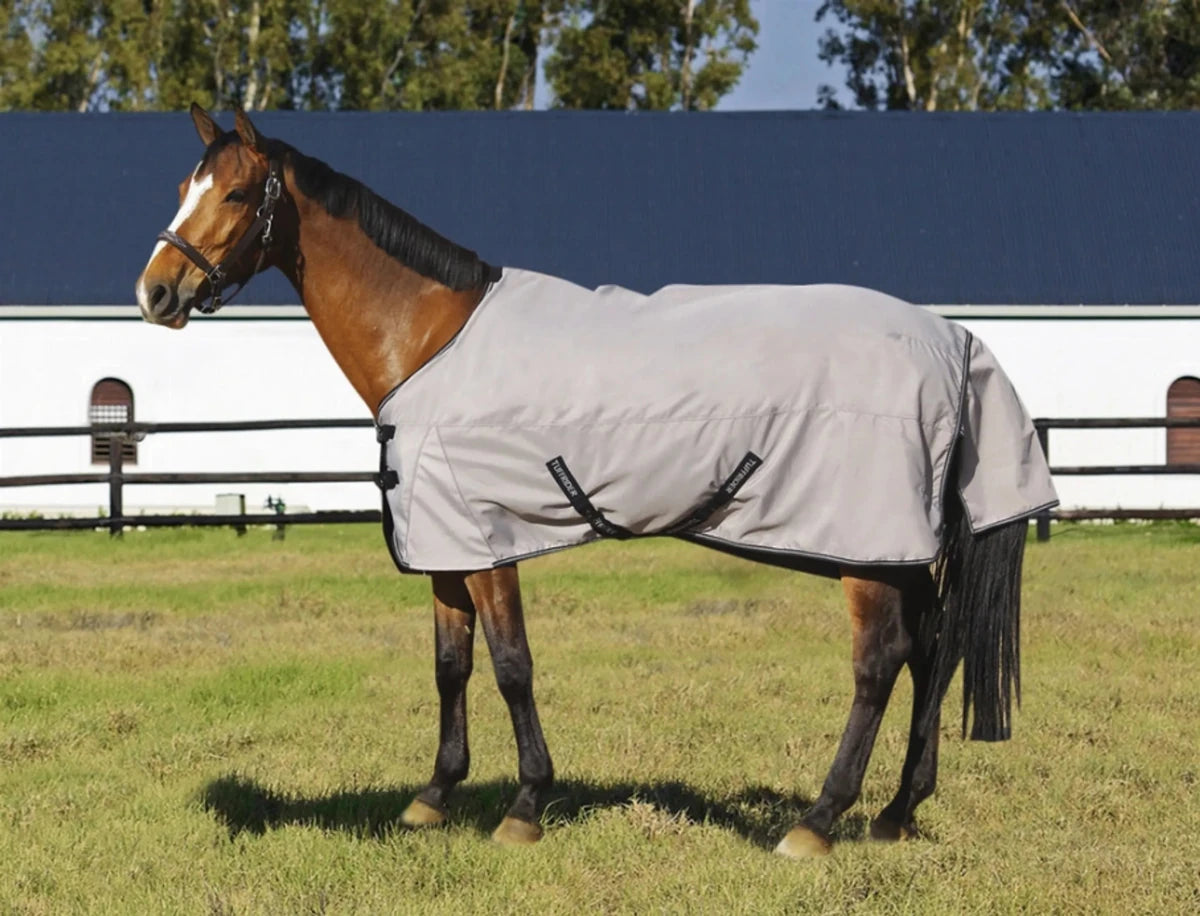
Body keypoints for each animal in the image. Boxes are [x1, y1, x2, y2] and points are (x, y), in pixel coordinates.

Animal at [135, 105, 1056, 857]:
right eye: (183, 187)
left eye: (235, 193)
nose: (156, 293)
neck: (430, 337)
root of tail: (952, 339)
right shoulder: (445, 549)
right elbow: (450, 666)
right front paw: (433, 797)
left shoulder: (490, 540)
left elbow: (511, 666)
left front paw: (525, 806)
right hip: (896, 550)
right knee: (932, 650)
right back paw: (897, 812)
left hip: (864, 552)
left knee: (880, 662)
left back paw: (818, 822)